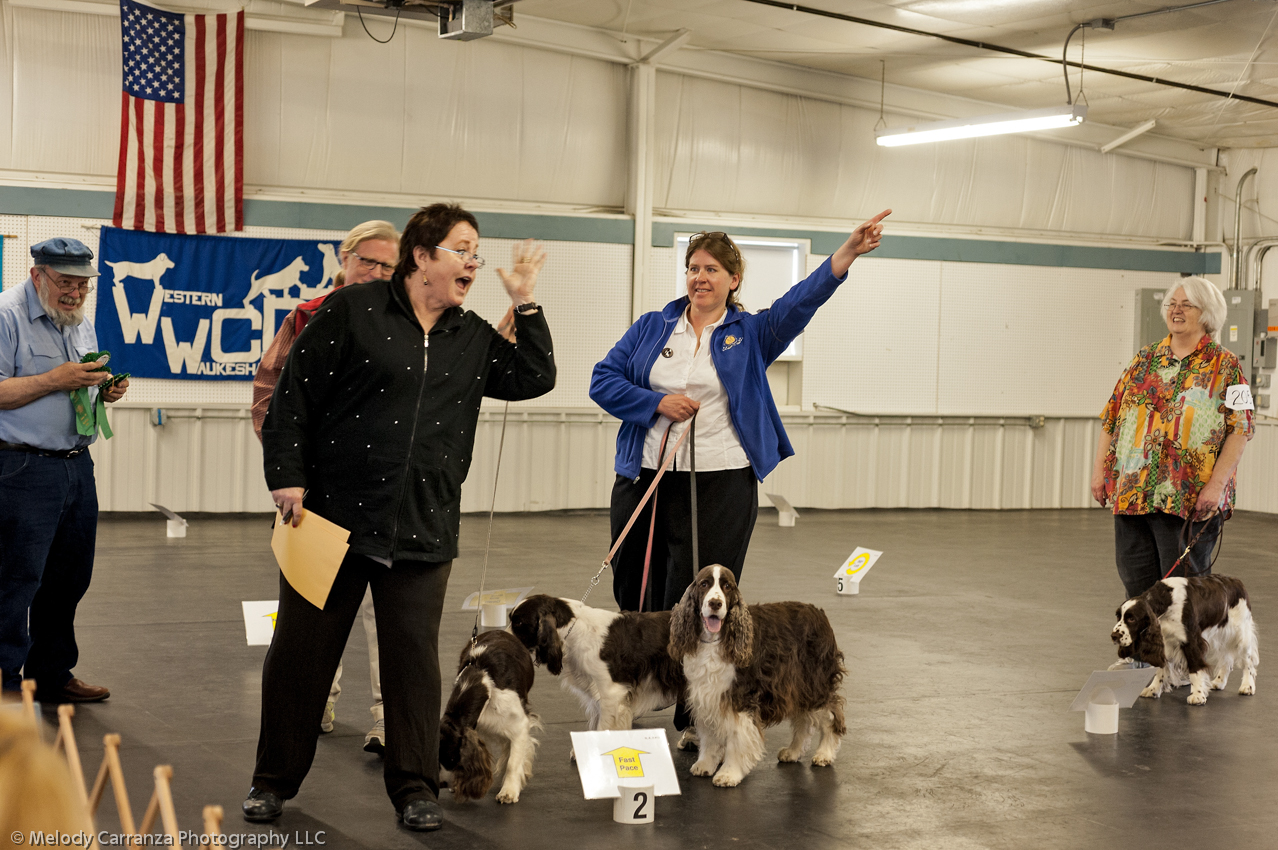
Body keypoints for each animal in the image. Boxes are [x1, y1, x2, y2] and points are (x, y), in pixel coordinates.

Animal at [439, 628, 539, 802]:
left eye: (451, 758)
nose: (441, 784)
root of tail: (502, 631)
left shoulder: (519, 724)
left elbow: (513, 762)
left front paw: (509, 791)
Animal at [508, 593, 690, 731]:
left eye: (519, 622)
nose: (504, 639)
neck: (576, 631)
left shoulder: (611, 692)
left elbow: (604, 727)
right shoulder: (597, 691)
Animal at [669, 567, 848, 787]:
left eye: (727, 586)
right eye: (704, 584)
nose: (715, 603)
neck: (716, 640)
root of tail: (819, 613)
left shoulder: (740, 699)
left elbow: (736, 738)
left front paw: (729, 774)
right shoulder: (708, 695)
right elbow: (710, 736)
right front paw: (705, 765)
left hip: (814, 684)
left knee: (831, 715)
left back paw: (825, 753)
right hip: (796, 687)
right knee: (804, 721)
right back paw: (792, 752)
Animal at [1109, 572, 1257, 705]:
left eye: (1132, 619)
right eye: (1118, 616)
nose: (1114, 636)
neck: (1166, 600)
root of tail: (1236, 581)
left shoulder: (1191, 641)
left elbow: (1194, 668)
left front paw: (1197, 695)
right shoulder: (1164, 641)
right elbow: (1161, 668)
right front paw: (1153, 689)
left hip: (1240, 634)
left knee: (1248, 661)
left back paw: (1247, 686)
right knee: (1227, 658)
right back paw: (1219, 681)